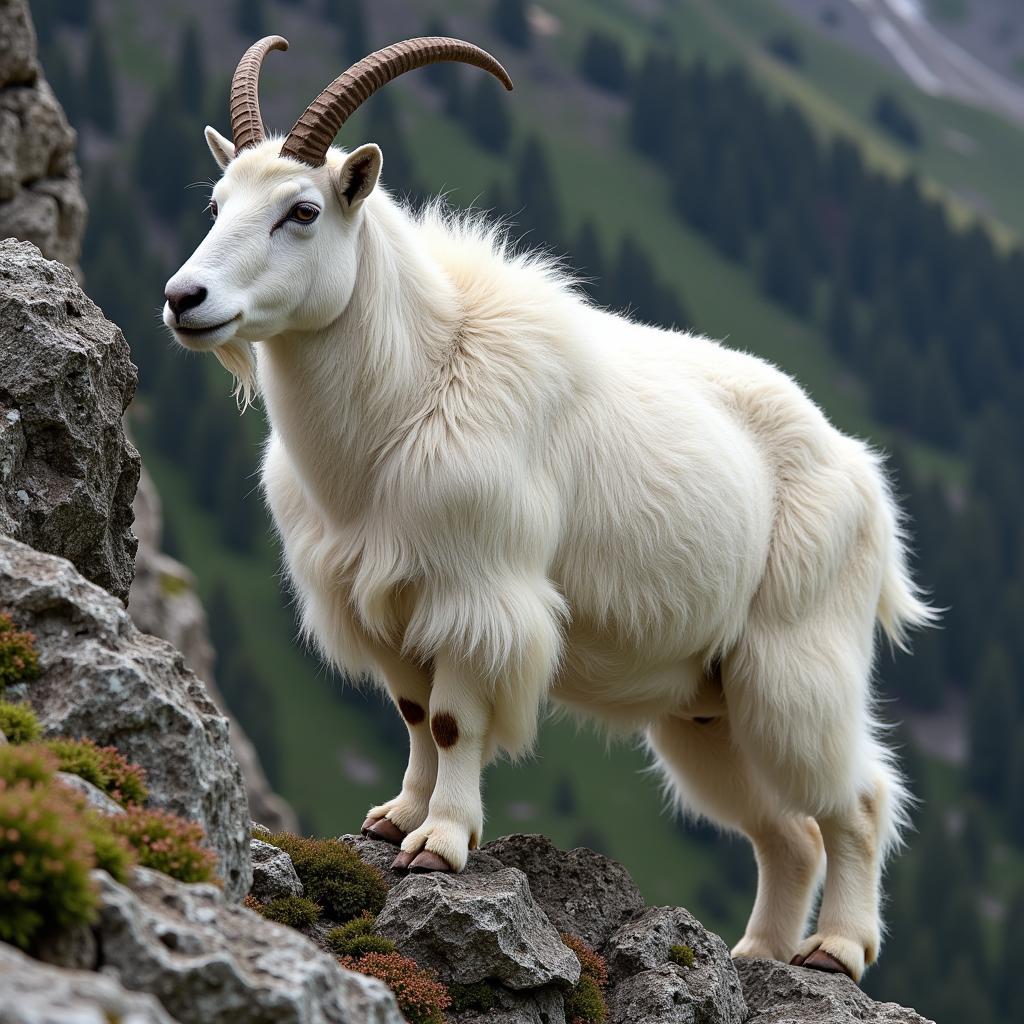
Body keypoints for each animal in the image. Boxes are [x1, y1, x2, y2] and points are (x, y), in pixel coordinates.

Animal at [165, 36, 937, 983]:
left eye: (302, 211)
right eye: (216, 202)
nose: (185, 299)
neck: (411, 388)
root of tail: (865, 483)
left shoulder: (478, 596)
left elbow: (453, 721)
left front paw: (441, 844)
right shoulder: (384, 604)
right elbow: (414, 718)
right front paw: (396, 819)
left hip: (798, 665)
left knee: (857, 800)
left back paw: (836, 950)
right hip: (708, 711)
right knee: (788, 836)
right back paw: (758, 952)